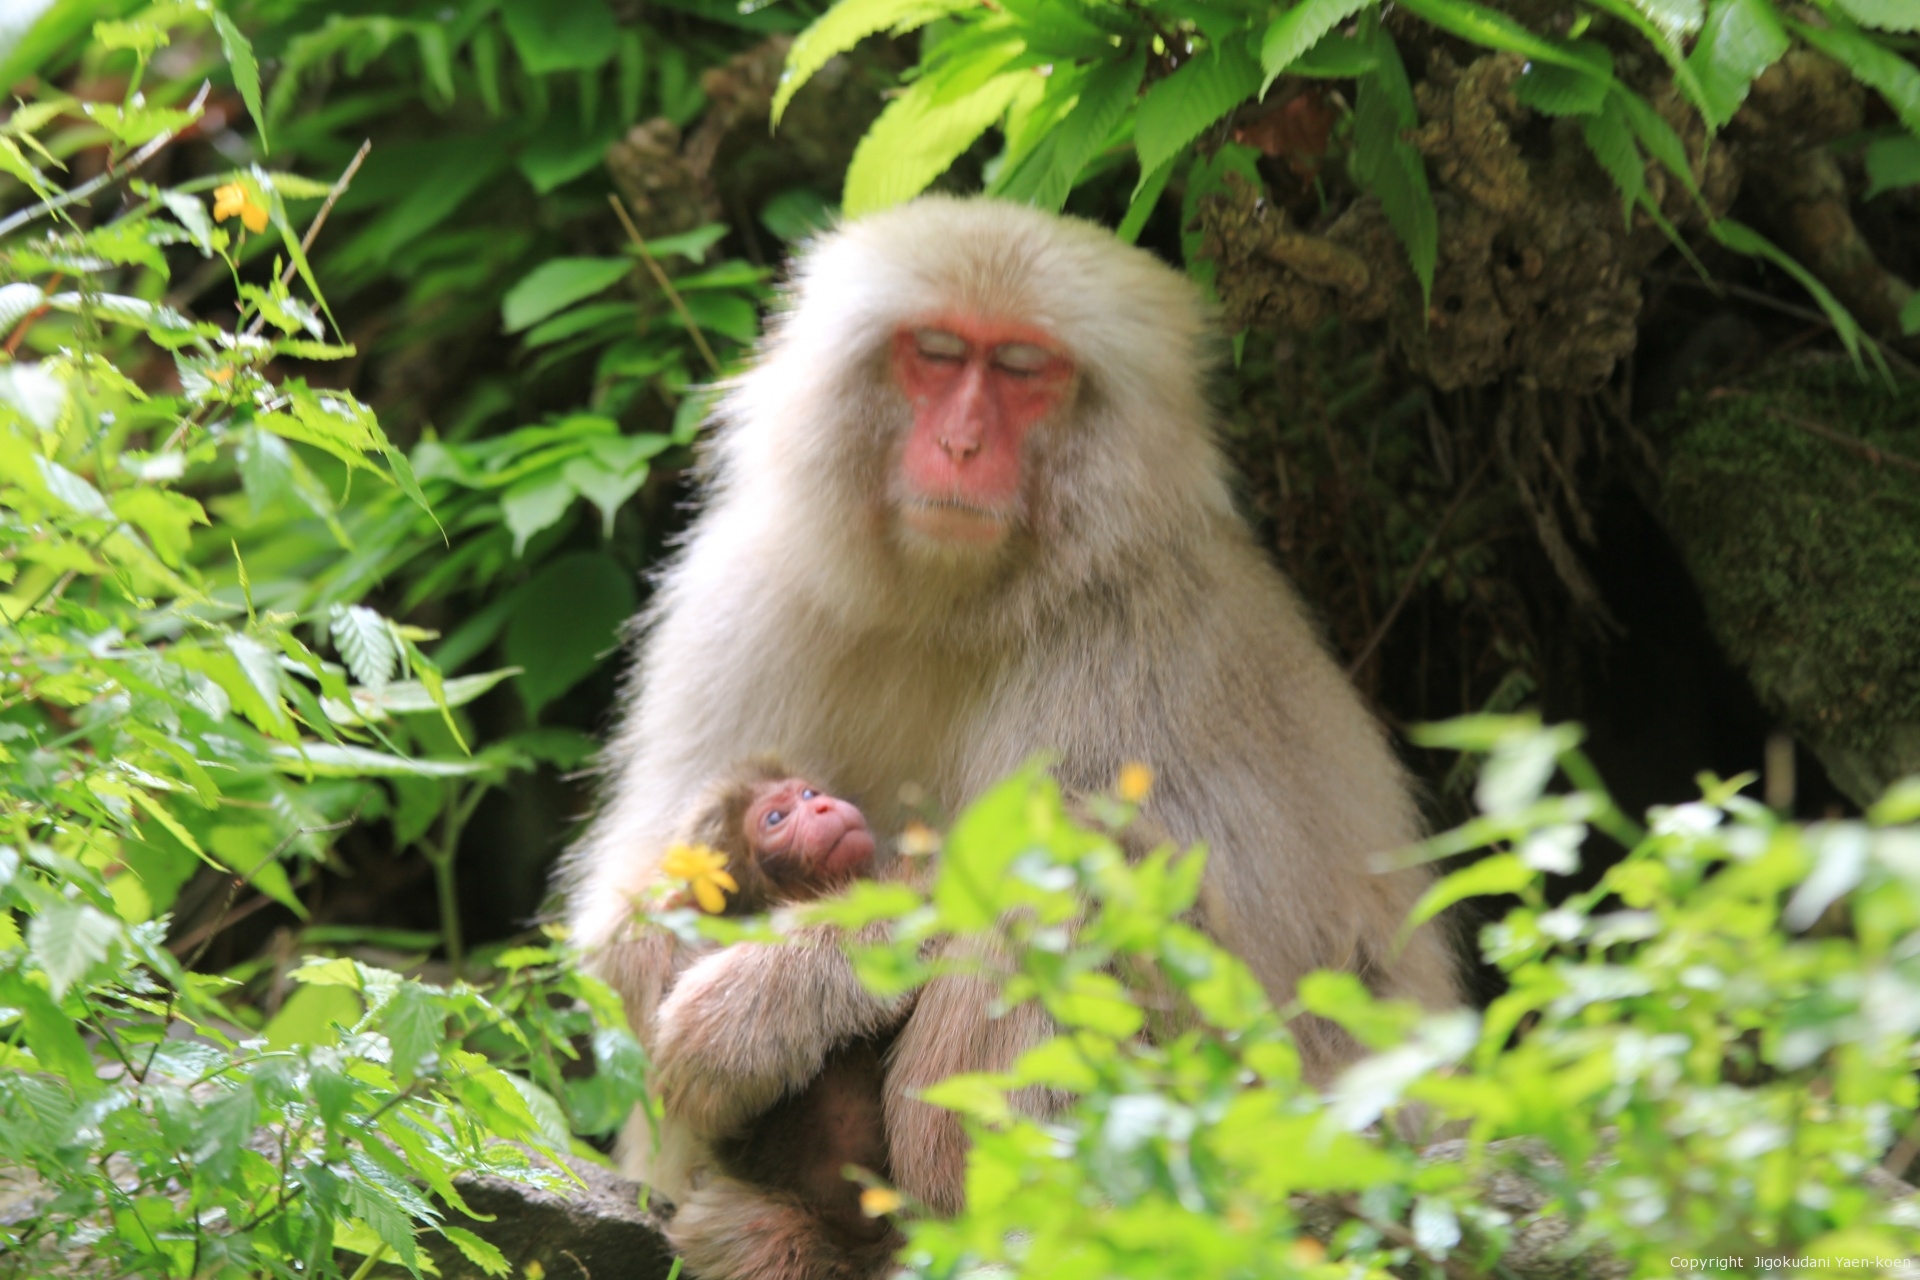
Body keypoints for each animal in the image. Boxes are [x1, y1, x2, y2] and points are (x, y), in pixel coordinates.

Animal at [564, 196, 1459, 1275]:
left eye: (1026, 370)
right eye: (938, 353)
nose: (958, 445)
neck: (954, 602)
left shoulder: (1132, 645)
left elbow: (1154, 917)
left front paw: (760, 1001)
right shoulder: (742, 590)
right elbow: (632, 899)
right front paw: (664, 949)